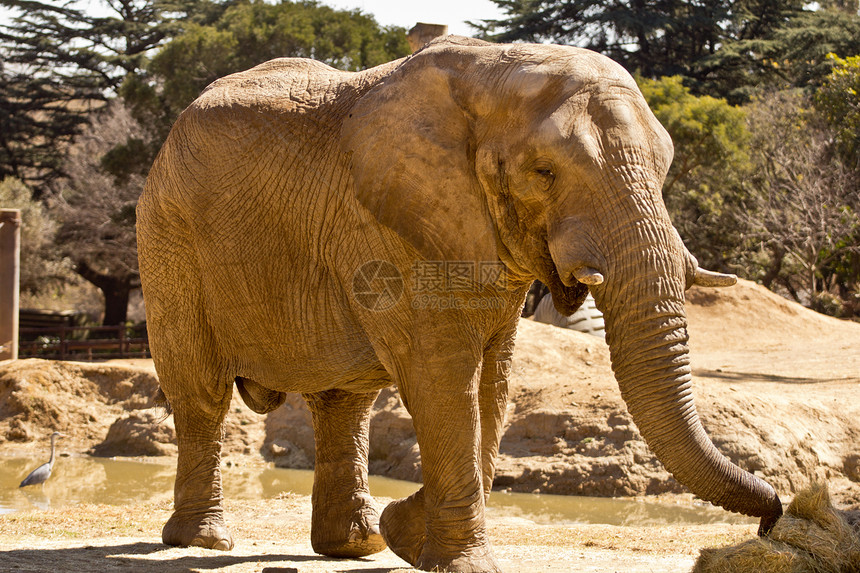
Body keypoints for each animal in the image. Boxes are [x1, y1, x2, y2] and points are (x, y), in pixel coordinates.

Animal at [136, 36, 788, 572]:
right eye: (544, 172)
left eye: (666, 166)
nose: (773, 518)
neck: (495, 72)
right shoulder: (391, 226)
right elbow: (443, 377)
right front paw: (457, 561)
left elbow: (492, 384)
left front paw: (407, 537)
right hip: (168, 241)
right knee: (200, 391)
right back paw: (203, 541)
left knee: (346, 400)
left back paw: (358, 545)